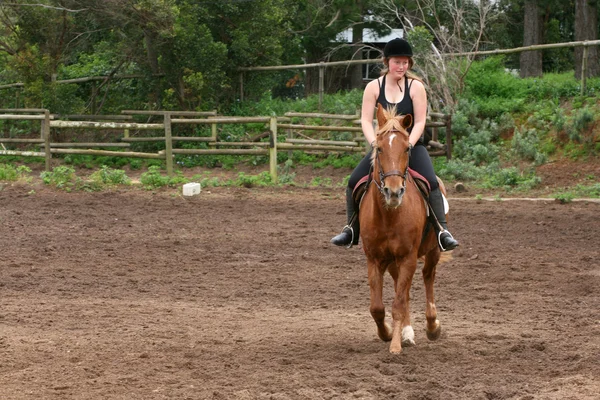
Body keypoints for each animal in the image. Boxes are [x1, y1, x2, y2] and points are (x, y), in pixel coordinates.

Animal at [360, 104, 446, 354]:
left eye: (407, 148)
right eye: (379, 149)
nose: (394, 191)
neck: (389, 215)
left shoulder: (408, 256)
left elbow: (398, 303)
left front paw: (395, 346)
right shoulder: (374, 259)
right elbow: (377, 307)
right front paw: (387, 333)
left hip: (432, 251)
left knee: (427, 277)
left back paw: (432, 325)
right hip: (393, 262)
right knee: (403, 288)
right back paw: (407, 332)